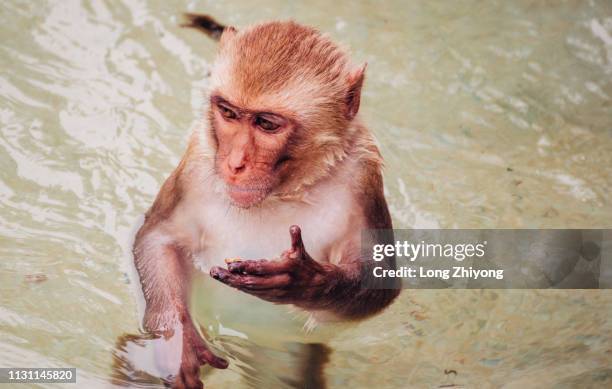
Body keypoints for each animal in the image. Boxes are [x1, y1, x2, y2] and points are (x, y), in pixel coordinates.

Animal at [133, 14, 402, 388]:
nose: (234, 163)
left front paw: (304, 280)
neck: (285, 189)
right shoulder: (197, 162)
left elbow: (381, 285)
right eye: (229, 113)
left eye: (266, 123)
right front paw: (178, 341)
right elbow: (159, 238)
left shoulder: (363, 178)